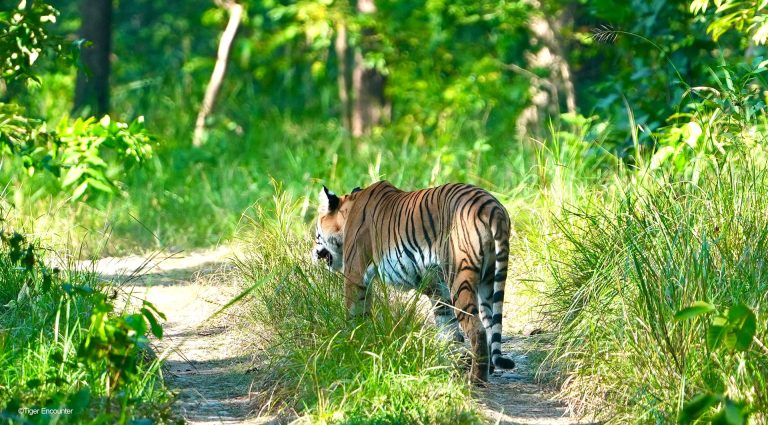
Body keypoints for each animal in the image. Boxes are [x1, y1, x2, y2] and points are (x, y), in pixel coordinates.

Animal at [311, 180, 515, 382]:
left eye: (316, 233)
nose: (313, 252)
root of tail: (491, 206)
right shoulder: (435, 284)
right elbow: (447, 326)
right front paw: (448, 363)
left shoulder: (355, 273)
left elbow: (355, 312)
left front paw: (353, 341)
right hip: (489, 280)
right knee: (489, 325)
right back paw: (486, 368)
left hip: (460, 276)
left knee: (477, 328)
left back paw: (476, 379)